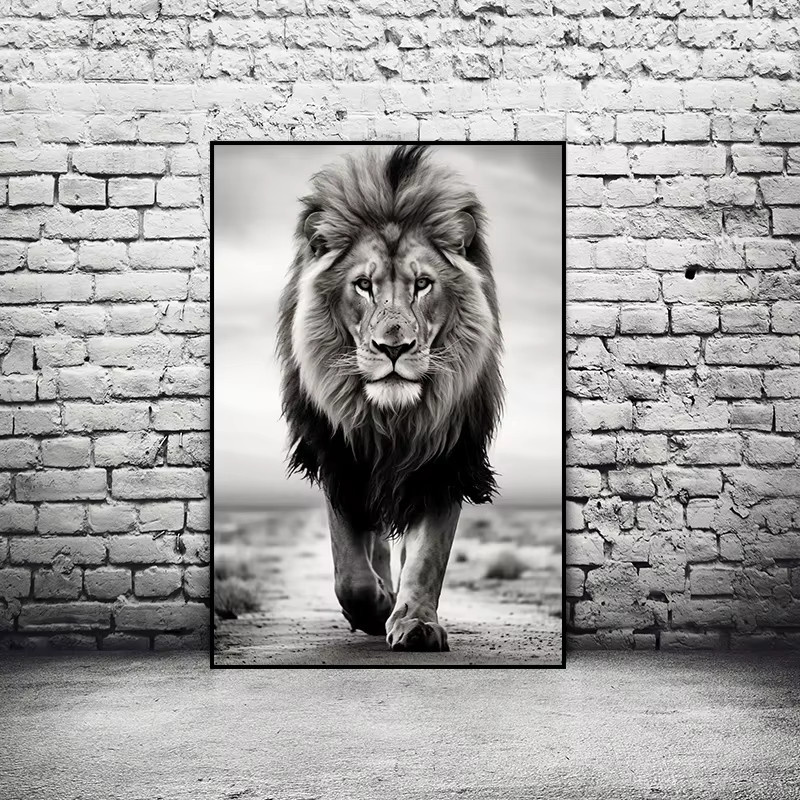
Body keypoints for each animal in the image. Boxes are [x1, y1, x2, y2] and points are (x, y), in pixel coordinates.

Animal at [276, 144, 504, 652]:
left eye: (422, 285)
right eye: (364, 285)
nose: (393, 348)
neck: (393, 420)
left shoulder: (445, 458)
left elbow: (427, 556)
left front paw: (415, 622)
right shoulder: (340, 455)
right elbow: (350, 571)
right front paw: (375, 606)